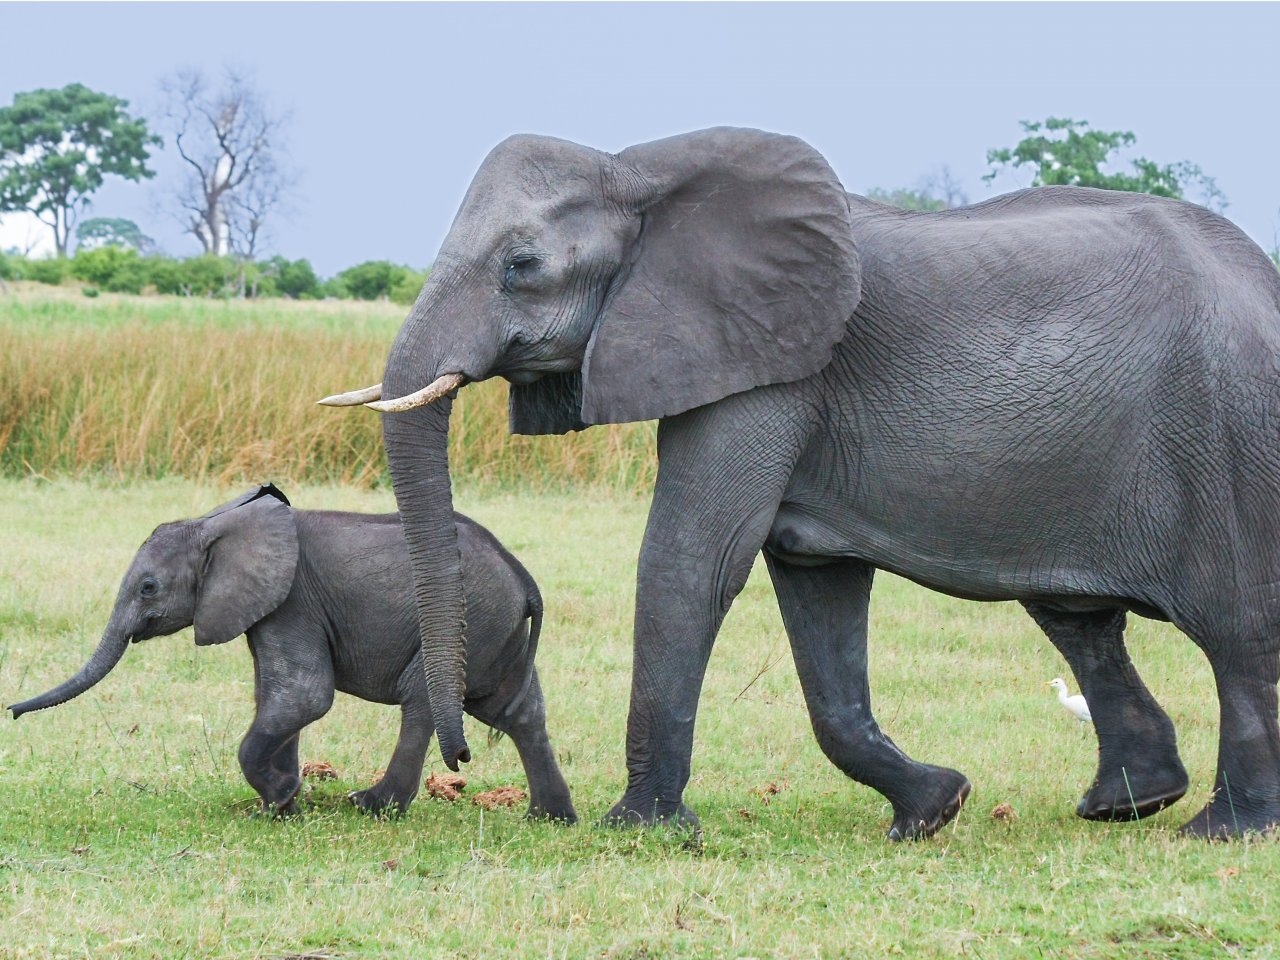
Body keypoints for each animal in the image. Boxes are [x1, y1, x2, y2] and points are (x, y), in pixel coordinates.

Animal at [7, 483, 578, 824]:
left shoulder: (293, 601)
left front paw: (281, 797)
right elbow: (276, 698)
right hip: (494, 632)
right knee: (519, 711)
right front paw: (281, 805)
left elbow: (304, 696)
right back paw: (549, 819)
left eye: (148, 588)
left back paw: (370, 806)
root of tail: (523, 577)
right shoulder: (267, 609)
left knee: (421, 700)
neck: (216, 524)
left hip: (469, 620)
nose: (10, 711)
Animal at [320, 129, 1280, 839]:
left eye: (521, 265)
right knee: (1080, 621)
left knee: (1234, 633)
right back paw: (1125, 806)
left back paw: (1222, 832)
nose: (460, 761)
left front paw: (639, 831)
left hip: (1228, 440)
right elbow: (815, 590)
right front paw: (935, 809)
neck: (640, 170)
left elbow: (694, 560)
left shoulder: (771, 370)